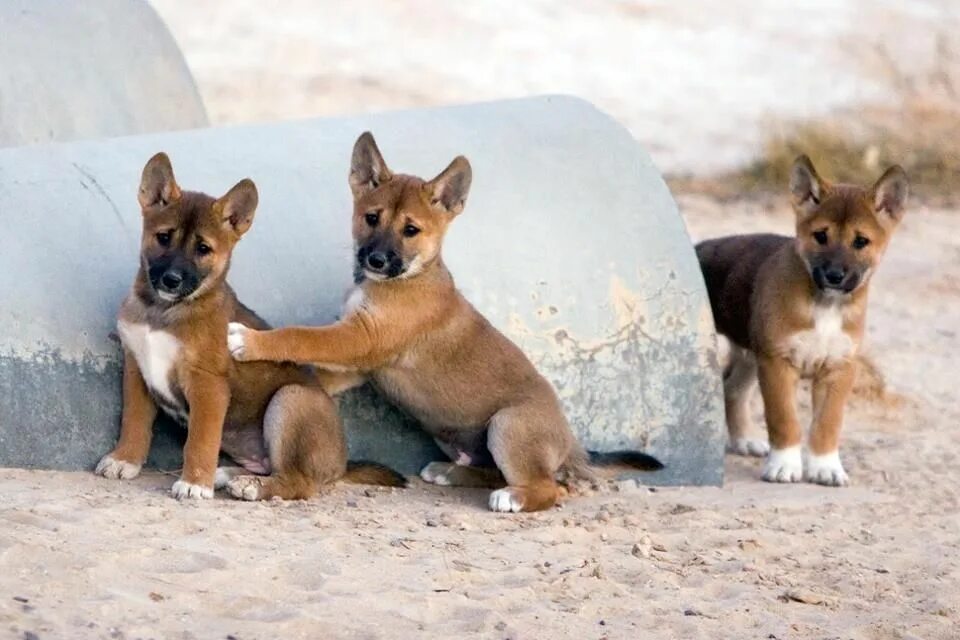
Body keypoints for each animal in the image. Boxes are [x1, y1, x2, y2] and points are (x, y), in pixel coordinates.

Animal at [227, 132, 660, 512]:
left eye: (411, 230)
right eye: (371, 218)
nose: (376, 260)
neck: (407, 278)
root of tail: (572, 443)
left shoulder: (361, 338)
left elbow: (300, 336)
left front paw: (249, 341)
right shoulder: (360, 364)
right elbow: (316, 365)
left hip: (508, 425)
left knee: (548, 488)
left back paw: (512, 498)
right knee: (497, 472)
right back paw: (452, 473)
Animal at [696, 155, 908, 484]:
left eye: (861, 241)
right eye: (820, 236)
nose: (835, 275)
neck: (825, 306)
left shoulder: (838, 369)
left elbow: (827, 424)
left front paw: (825, 467)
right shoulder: (777, 364)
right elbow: (784, 420)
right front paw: (784, 465)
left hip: (749, 355)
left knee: (732, 389)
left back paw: (744, 440)